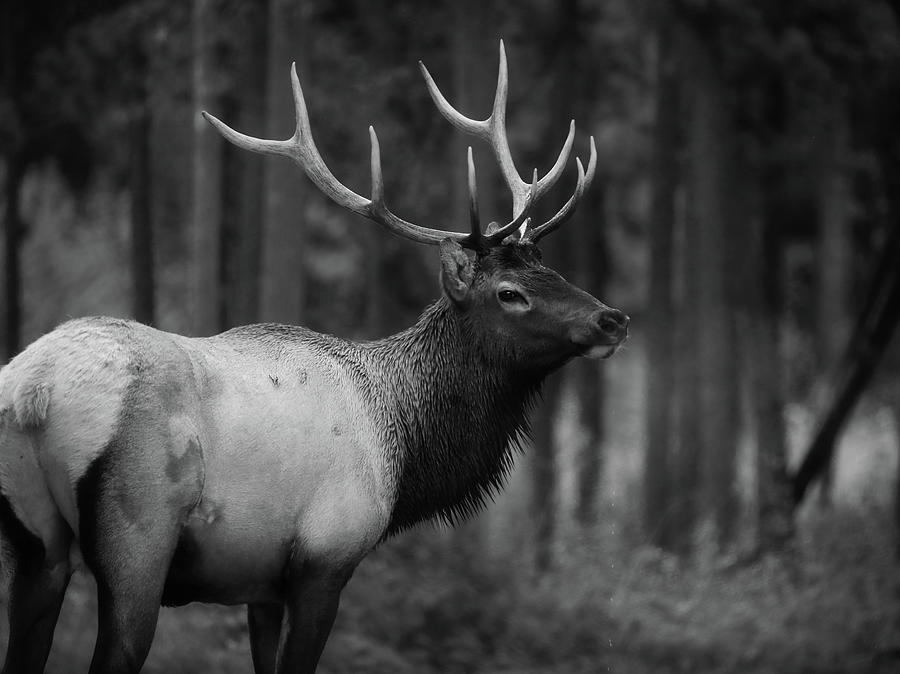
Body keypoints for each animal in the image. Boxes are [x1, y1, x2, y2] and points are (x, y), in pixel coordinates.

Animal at [0, 41, 628, 674]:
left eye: (553, 269)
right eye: (509, 293)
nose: (613, 319)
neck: (402, 449)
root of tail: (34, 390)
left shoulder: (259, 586)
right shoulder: (326, 556)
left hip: (35, 546)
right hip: (138, 533)